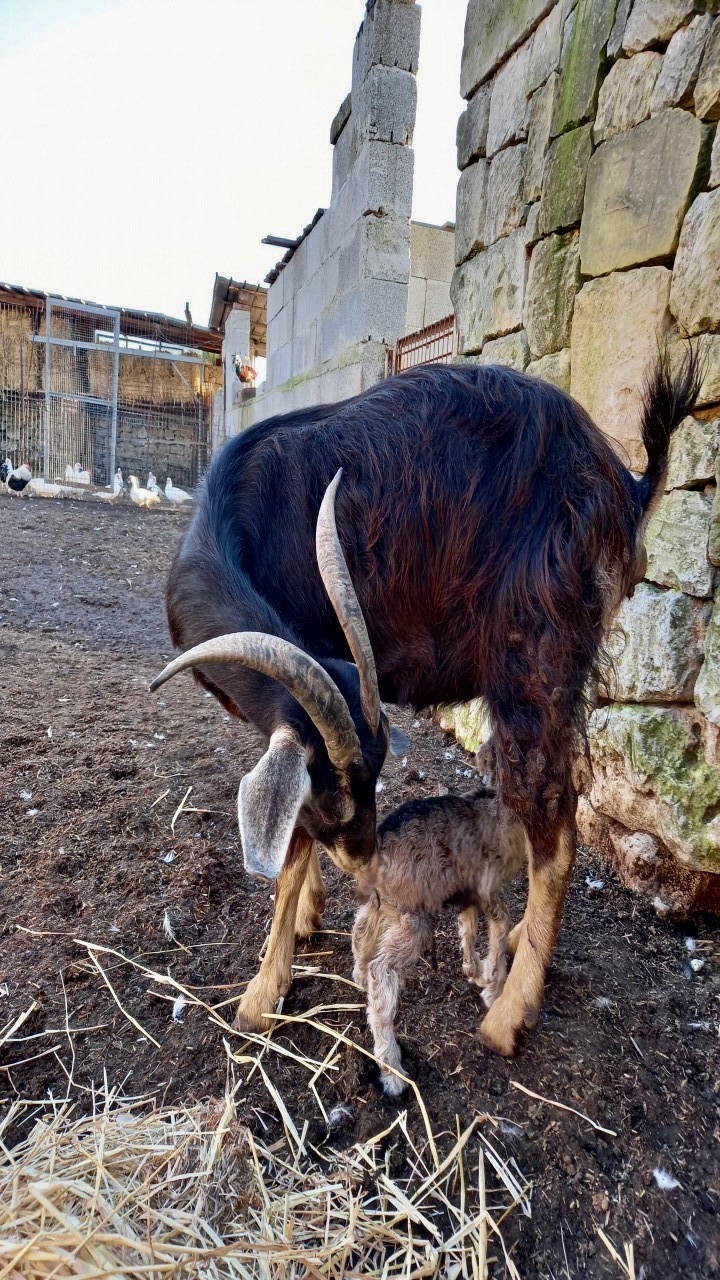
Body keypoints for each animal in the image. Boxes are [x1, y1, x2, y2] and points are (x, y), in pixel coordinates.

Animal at [149, 355, 696, 1054]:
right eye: (338, 795)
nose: (366, 859)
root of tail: (622, 483)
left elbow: (291, 851)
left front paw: (259, 996)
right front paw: (308, 916)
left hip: (534, 654)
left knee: (555, 814)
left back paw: (509, 1012)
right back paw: (517, 939)